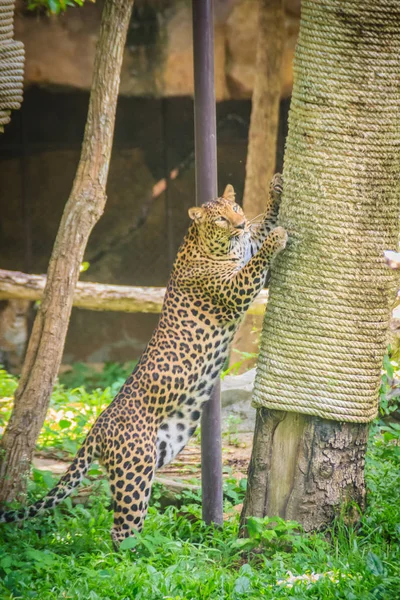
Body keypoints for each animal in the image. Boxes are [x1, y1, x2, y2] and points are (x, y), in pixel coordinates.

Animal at [0, 173, 288, 548]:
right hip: (134, 472)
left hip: (160, 450)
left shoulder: (246, 246)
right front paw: (278, 237)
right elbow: (256, 261)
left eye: (237, 208)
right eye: (221, 220)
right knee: (122, 529)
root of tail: (98, 426)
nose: (238, 224)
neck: (207, 242)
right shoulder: (234, 288)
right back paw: (147, 556)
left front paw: (276, 190)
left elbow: (259, 228)